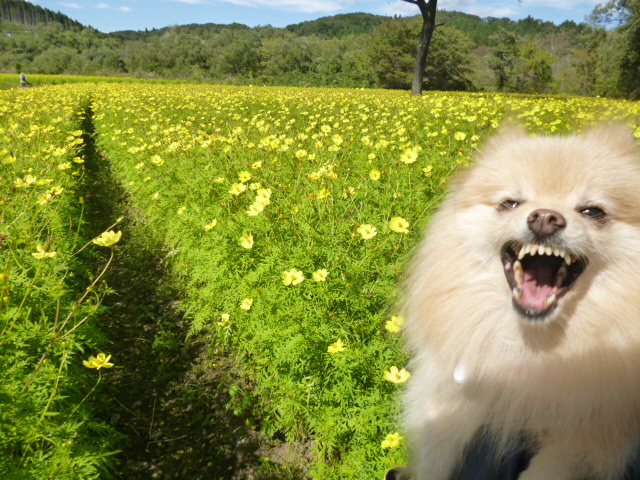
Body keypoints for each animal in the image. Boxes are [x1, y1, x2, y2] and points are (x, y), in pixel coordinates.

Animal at [402, 124, 640, 480]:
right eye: (510, 203)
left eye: (593, 211)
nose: (544, 218)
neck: (531, 343)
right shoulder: (454, 389)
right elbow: (437, 449)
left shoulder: (594, 433)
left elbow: (550, 467)